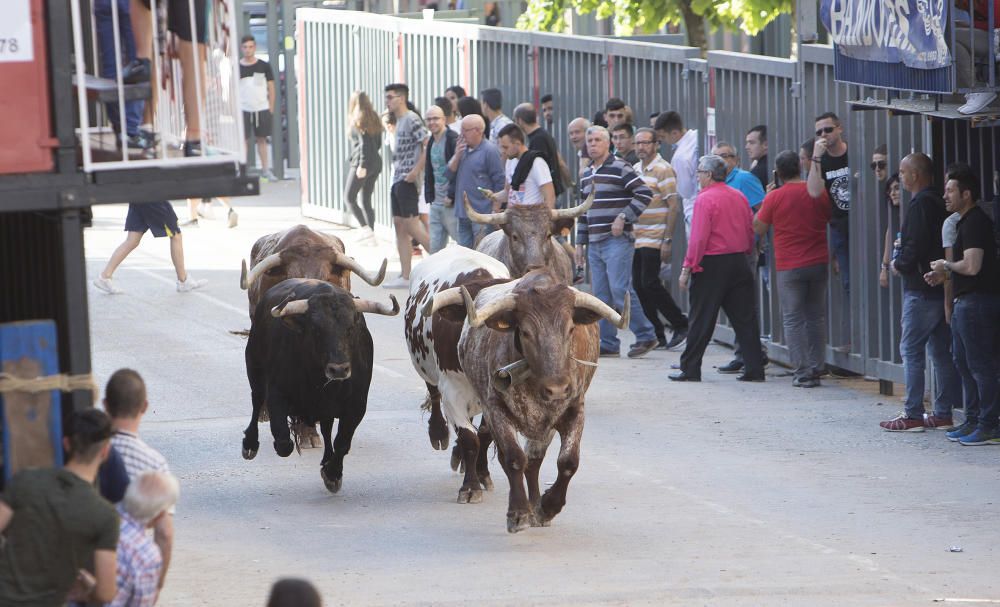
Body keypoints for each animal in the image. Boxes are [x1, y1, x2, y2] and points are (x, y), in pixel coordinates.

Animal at [404, 247, 512, 504]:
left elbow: (484, 435)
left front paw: (482, 474)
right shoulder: (452, 391)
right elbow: (469, 438)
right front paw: (470, 488)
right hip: (428, 370)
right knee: (434, 394)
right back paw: (439, 434)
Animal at [432, 270, 632, 532]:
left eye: (570, 329)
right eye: (526, 332)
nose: (557, 389)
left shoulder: (573, 410)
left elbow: (567, 462)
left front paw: (547, 506)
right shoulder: (495, 410)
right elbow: (514, 459)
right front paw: (518, 512)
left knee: (534, 461)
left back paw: (536, 505)